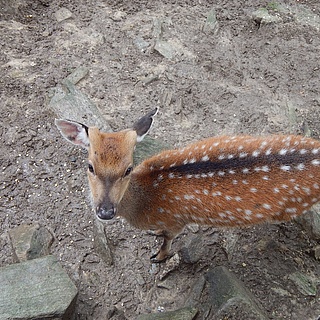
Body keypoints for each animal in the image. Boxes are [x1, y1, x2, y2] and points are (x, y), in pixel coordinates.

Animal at [56, 110, 320, 262]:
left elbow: (168, 240)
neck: (145, 206)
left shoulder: (177, 220)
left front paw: (158, 257)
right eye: (90, 166)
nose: (105, 211)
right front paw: (155, 234)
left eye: (128, 169)